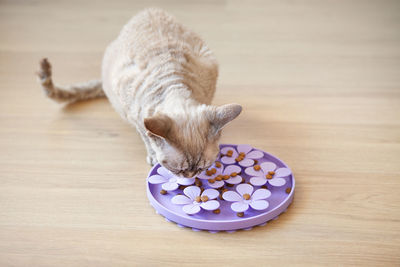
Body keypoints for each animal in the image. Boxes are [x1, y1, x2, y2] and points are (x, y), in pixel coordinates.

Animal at [37, 8, 242, 179]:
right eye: (178, 169)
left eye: (202, 167)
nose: (190, 176)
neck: (173, 82)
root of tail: (147, 10)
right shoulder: (135, 117)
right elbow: (146, 136)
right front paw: (153, 156)